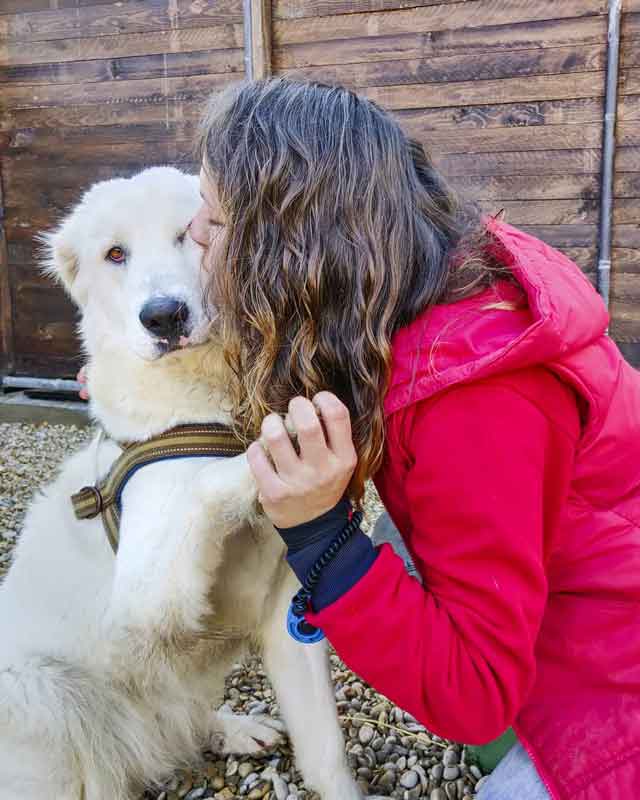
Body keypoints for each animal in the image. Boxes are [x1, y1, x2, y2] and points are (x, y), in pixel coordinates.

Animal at [0, 167, 368, 800]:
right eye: (114, 254)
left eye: (188, 235)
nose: (163, 316)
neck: (203, 408)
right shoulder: (144, 594)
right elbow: (212, 479)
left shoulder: (286, 619)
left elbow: (326, 753)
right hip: (46, 697)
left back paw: (233, 729)